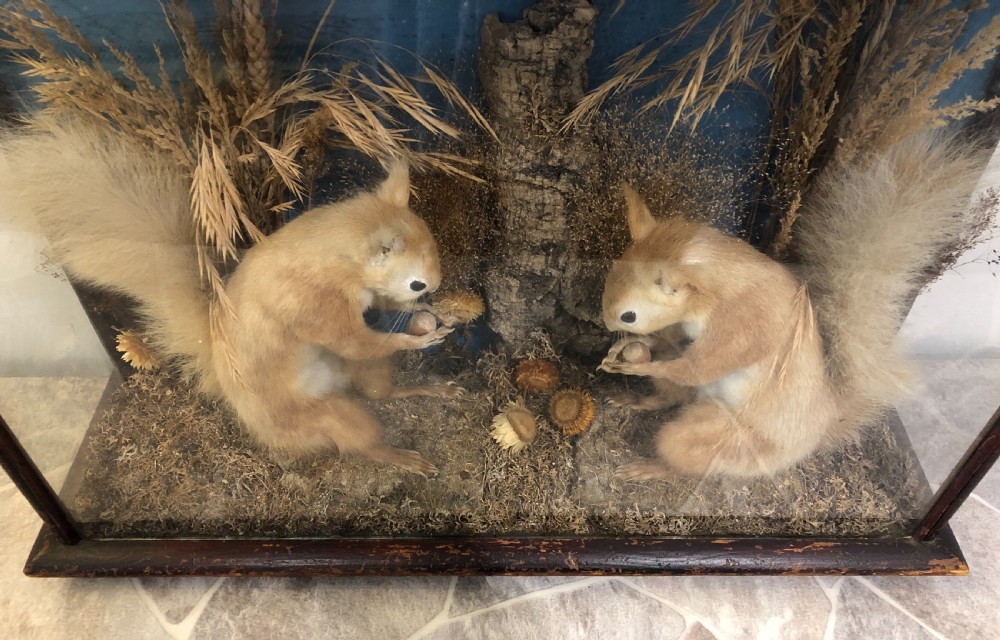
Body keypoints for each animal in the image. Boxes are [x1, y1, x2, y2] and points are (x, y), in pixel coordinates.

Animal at [0, 118, 461, 475]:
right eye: (416, 281)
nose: (434, 288)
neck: (331, 255)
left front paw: (429, 315)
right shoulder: (313, 305)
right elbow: (355, 340)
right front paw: (420, 333)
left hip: (363, 379)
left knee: (380, 393)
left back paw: (433, 392)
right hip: (326, 414)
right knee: (360, 438)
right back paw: (401, 456)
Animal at [599, 134, 989, 480]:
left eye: (629, 315)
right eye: (610, 272)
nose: (606, 325)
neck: (718, 289)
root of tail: (816, 432)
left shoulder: (743, 328)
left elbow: (696, 367)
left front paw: (638, 366)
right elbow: (675, 346)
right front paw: (637, 348)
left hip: (720, 438)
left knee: (685, 457)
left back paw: (650, 467)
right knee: (669, 399)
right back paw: (636, 400)